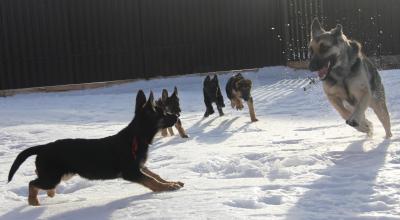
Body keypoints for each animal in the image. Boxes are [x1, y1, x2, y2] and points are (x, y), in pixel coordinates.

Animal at [7, 90, 184, 205]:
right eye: (163, 114)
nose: (177, 117)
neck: (137, 136)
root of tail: (43, 147)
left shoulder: (139, 166)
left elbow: (155, 175)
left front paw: (170, 182)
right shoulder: (131, 172)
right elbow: (151, 180)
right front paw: (167, 187)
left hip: (62, 174)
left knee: (39, 178)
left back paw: (49, 194)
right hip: (52, 177)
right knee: (32, 183)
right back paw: (33, 201)